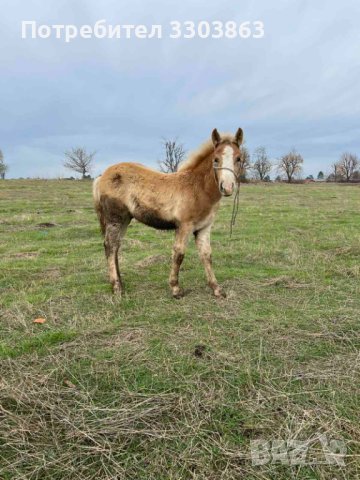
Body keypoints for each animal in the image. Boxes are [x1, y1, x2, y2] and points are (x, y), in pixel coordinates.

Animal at [93, 129, 245, 298]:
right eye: (216, 159)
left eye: (239, 158)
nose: (227, 187)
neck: (197, 188)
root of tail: (101, 177)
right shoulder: (184, 226)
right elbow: (179, 254)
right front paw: (175, 289)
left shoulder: (204, 227)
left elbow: (206, 255)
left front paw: (216, 289)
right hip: (115, 218)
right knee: (110, 246)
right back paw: (117, 288)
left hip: (125, 219)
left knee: (116, 246)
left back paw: (121, 283)